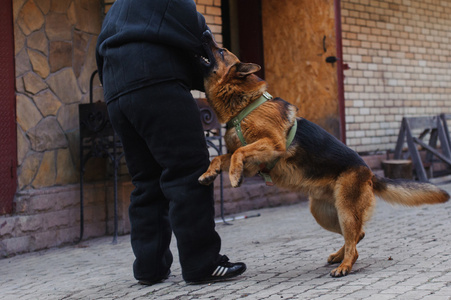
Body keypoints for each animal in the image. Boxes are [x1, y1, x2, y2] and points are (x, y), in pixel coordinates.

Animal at [200, 31, 450, 278]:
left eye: (221, 51)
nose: (206, 33)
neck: (245, 106)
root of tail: (369, 173)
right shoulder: (254, 164)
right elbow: (222, 156)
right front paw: (209, 174)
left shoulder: (273, 144)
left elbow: (238, 152)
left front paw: (233, 176)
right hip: (324, 213)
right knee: (358, 236)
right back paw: (340, 256)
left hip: (346, 211)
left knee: (354, 240)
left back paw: (345, 265)